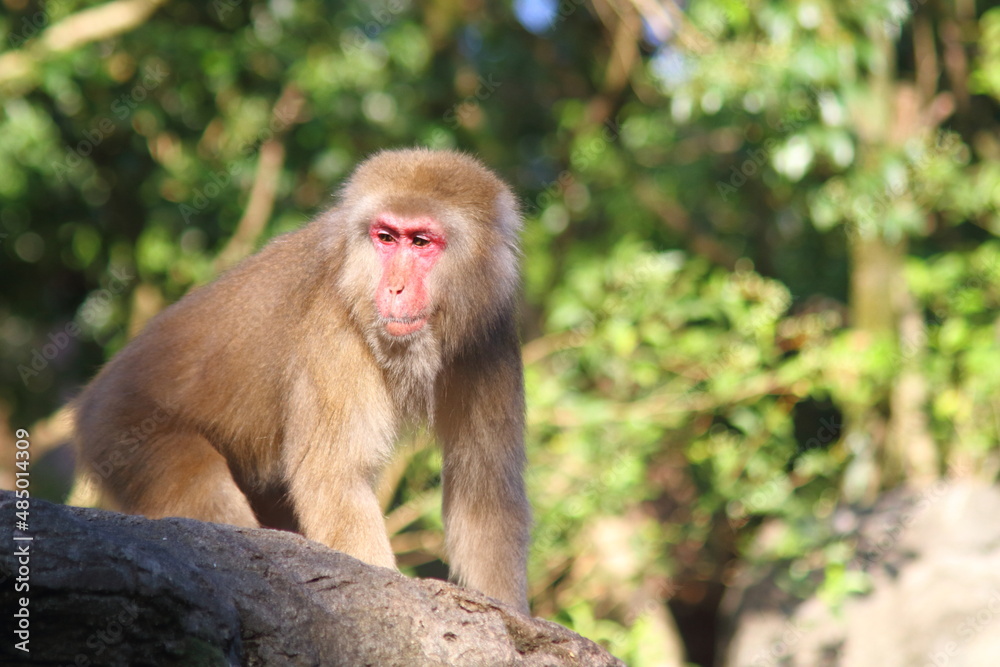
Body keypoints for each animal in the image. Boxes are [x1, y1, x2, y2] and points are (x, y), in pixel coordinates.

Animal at [72, 149, 532, 612]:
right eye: (386, 237)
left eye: (420, 242)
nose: (395, 288)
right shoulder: (333, 329)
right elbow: (336, 480)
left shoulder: (491, 330)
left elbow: (485, 496)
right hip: (125, 437)